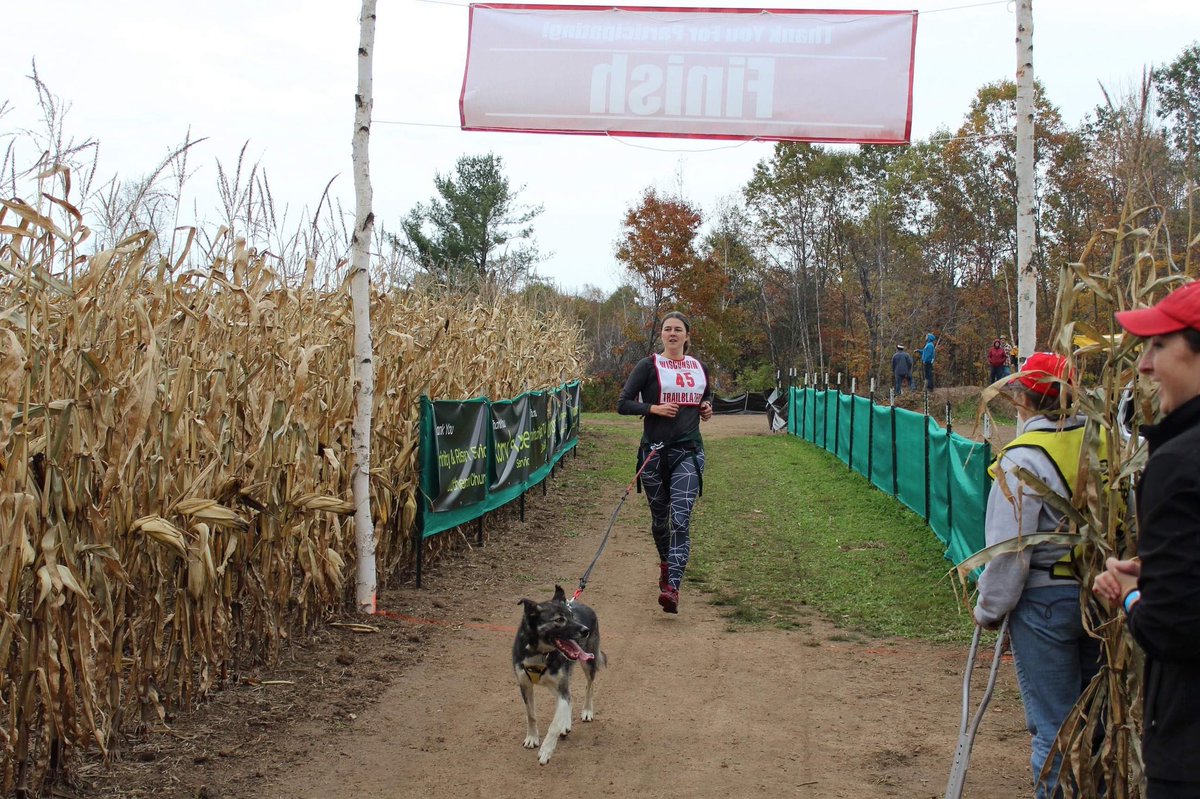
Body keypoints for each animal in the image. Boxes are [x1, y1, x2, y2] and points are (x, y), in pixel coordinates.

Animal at [511, 583, 604, 763]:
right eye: (559, 620)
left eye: (572, 616)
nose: (585, 630)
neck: (540, 653)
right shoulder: (525, 685)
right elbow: (531, 714)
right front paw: (532, 738)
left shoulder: (561, 687)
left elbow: (554, 724)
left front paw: (546, 750)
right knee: (569, 697)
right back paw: (566, 723)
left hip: (588, 663)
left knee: (588, 687)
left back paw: (587, 711)